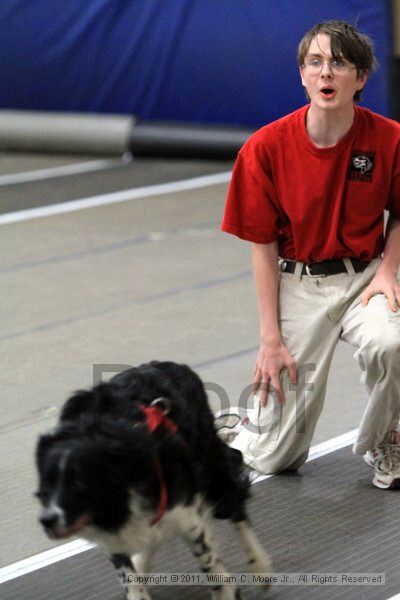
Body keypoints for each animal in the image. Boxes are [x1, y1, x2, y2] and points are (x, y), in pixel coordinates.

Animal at [36, 360, 272, 600]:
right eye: (45, 486)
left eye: (79, 484)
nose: (47, 520)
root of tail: (172, 365)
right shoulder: (113, 535)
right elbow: (128, 575)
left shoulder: (186, 515)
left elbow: (209, 563)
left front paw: (227, 592)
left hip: (212, 469)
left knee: (235, 502)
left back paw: (260, 568)